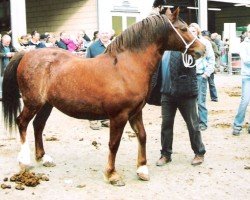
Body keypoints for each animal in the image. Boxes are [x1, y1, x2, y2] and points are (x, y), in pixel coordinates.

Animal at [2, 7, 205, 186]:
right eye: (184, 29)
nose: (202, 49)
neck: (126, 66)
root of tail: (26, 54)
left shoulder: (135, 112)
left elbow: (142, 136)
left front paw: (142, 169)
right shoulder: (118, 116)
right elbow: (114, 144)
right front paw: (112, 175)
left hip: (46, 105)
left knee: (38, 126)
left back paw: (44, 158)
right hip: (33, 103)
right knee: (22, 123)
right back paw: (24, 161)